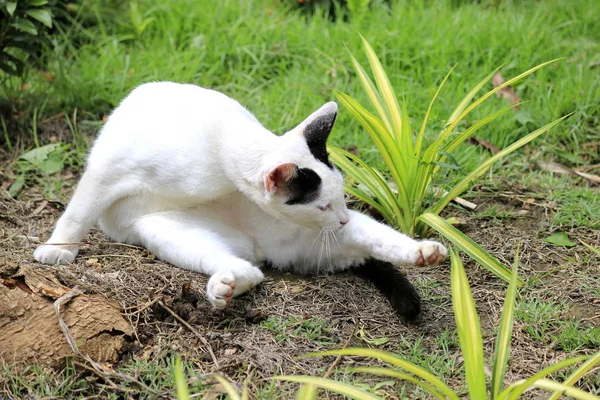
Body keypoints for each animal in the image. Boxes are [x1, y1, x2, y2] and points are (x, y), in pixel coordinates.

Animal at [32, 83, 446, 320]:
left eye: (342, 197)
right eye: (323, 206)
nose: (341, 218)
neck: (215, 154)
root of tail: (259, 248)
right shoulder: (107, 170)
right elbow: (77, 212)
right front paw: (59, 249)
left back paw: (424, 252)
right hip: (165, 230)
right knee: (245, 269)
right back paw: (227, 284)